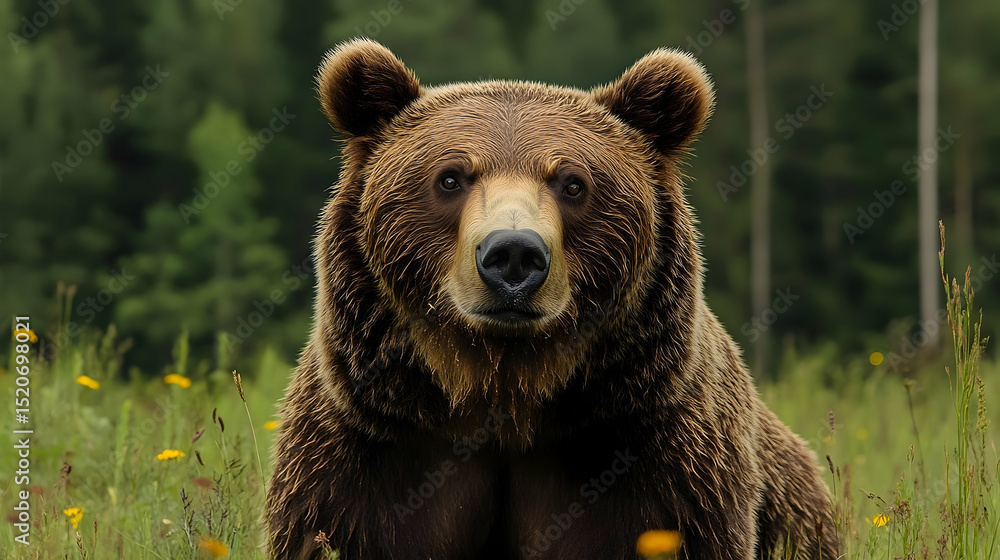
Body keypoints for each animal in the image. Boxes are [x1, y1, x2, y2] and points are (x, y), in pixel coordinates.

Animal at [265, 38, 837, 560]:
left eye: (573, 183)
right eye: (450, 178)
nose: (513, 255)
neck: (505, 392)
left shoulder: (658, 460)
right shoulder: (368, 451)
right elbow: (336, 529)